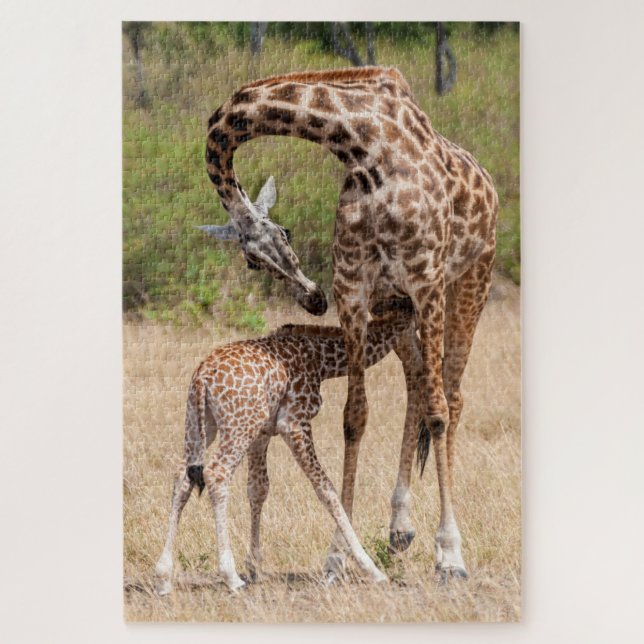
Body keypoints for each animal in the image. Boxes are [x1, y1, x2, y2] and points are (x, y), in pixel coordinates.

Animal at [154, 300, 414, 595]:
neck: (322, 360)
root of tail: (202, 378)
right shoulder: (294, 423)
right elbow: (326, 489)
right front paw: (371, 569)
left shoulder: (262, 433)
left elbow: (258, 489)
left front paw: (255, 567)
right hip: (237, 426)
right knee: (216, 474)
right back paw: (230, 576)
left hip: (201, 424)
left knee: (182, 476)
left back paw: (163, 577)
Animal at [201, 66, 498, 581]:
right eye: (253, 261)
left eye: (284, 234)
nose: (312, 299)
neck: (364, 146)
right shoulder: (356, 288)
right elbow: (354, 418)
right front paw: (337, 555)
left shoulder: (426, 279)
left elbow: (438, 412)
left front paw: (450, 555)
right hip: (396, 304)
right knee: (417, 381)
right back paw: (400, 528)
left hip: (470, 281)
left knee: (451, 397)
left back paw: (440, 544)